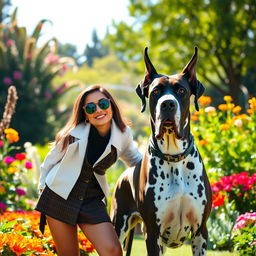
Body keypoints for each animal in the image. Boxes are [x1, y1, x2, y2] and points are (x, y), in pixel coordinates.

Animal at [110, 47, 212, 256]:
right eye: (156, 91)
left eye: (181, 90)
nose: (167, 104)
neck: (174, 158)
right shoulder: (152, 233)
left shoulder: (200, 232)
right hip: (118, 227)